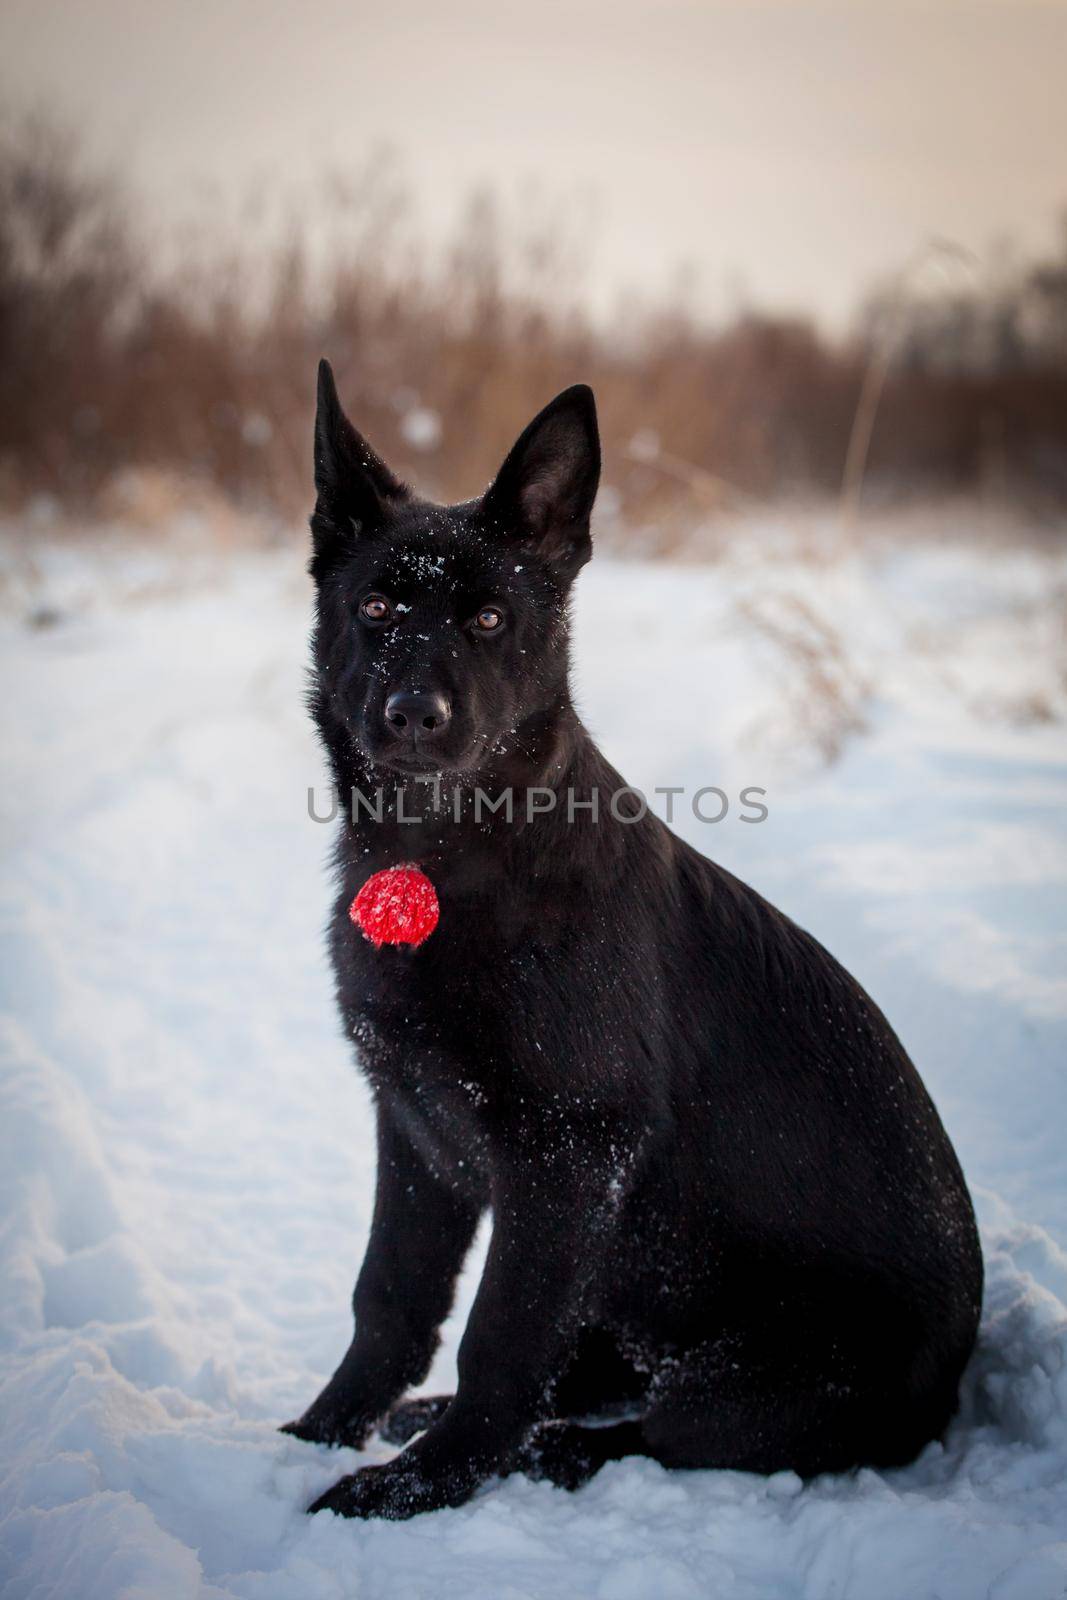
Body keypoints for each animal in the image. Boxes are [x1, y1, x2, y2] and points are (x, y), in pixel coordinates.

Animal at [286, 366, 985, 1523]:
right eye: (376, 608)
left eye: (489, 617)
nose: (414, 715)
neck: (447, 859)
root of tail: (957, 1381)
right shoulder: (418, 1126)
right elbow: (388, 1296)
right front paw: (315, 1433)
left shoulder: (567, 1154)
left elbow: (497, 1339)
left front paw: (420, 1490)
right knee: (591, 1366)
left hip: (753, 1376)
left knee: (649, 1428)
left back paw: (544, 1451)